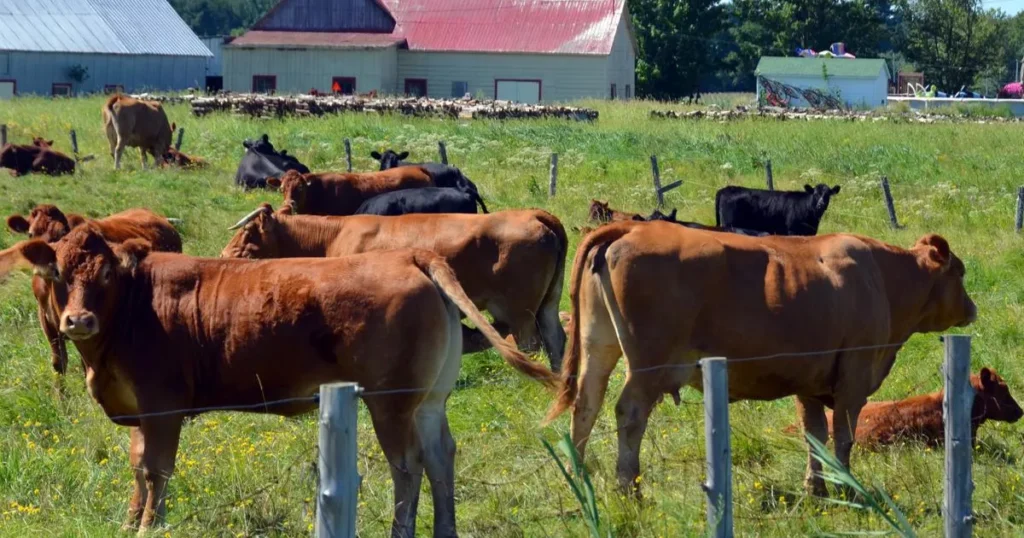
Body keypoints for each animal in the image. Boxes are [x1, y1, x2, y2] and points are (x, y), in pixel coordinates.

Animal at [0, 227, 557, 536]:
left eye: (105, 276)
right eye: (57, 275)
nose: (78, 321)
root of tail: (407, 254)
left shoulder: (162, 407)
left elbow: (156, 470)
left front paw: (149, 527)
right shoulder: (139, 409)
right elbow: (138, 468)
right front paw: (128, 520)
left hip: (390, 402)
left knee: (408, 467)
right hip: (428, 402)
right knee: (442, 458)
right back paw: (445, 531)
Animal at [220, 203, 569, 370]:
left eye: (248, 232)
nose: (223, 255)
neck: (334, 236)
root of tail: (534, 214)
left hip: (520, 310)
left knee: (530, 344)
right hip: (547, 305)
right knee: (556, 339)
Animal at [548, 220, 978, 498]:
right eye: (960, 272)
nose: (972, 308)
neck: (883, 279)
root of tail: (631, 227)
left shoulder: (811, 381)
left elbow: (815, 436)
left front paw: (816, 488)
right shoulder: (854, 377)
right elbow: (842, 437)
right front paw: (846, 488)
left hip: (598, 345)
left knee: (586, 405)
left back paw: (578, 477)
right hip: (648, 364)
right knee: (630, 414)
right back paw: (629, 489)